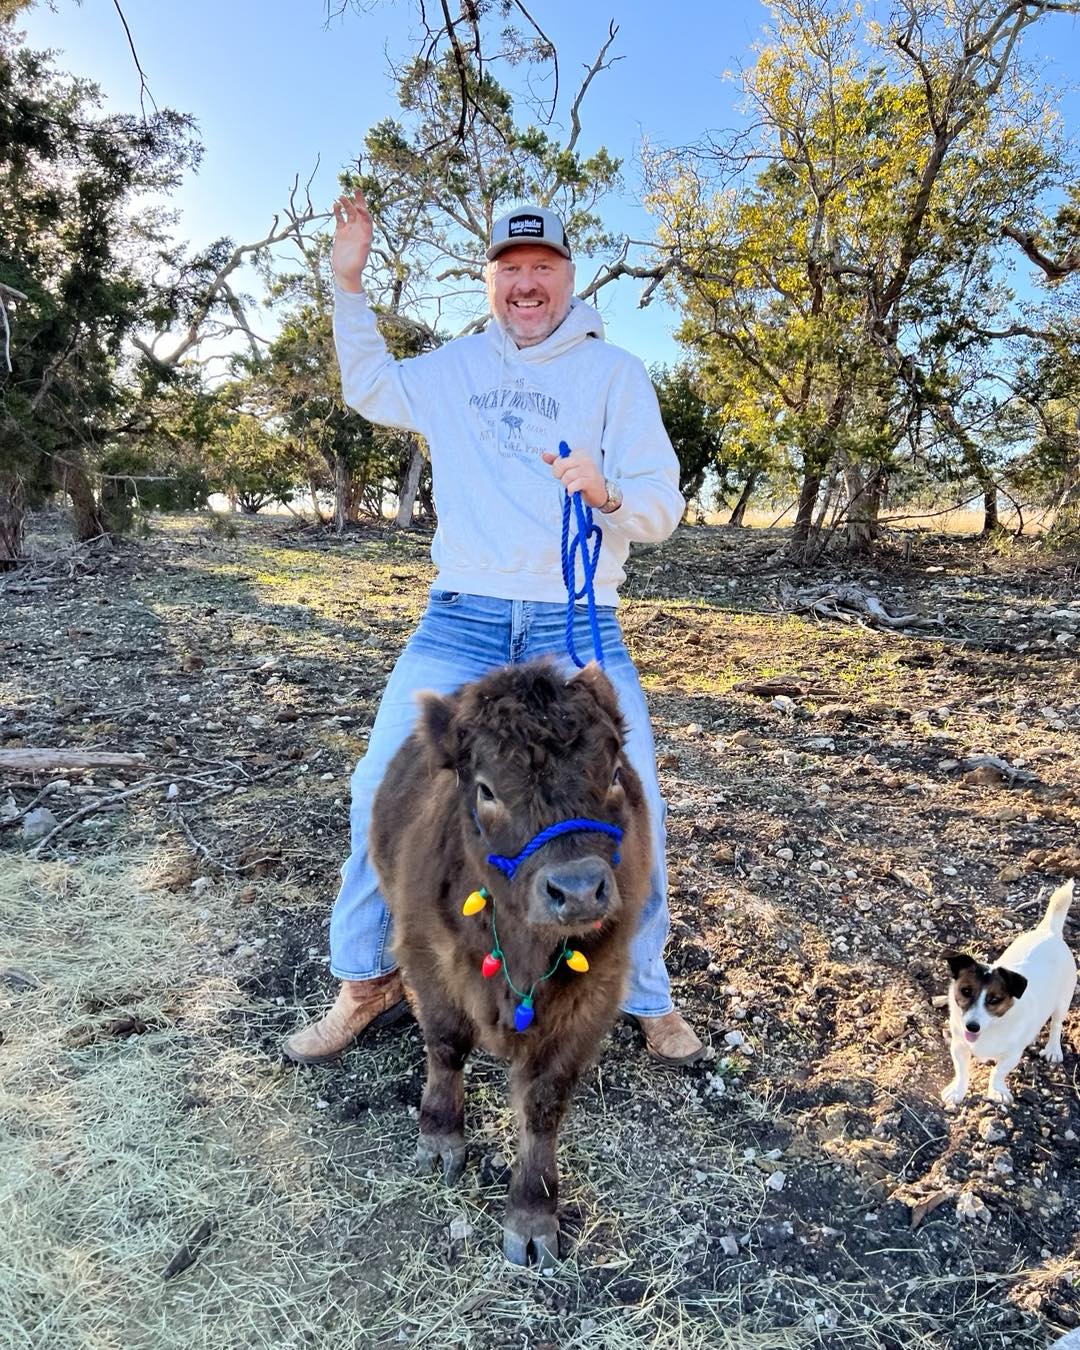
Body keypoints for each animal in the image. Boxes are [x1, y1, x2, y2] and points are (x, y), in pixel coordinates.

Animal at [369, 659, 651, 1267]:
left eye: (615, 772)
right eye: (486, 789)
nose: (577, 890)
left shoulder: (591, 998)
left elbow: (544, 1102)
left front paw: (532, 1216)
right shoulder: (428, 960)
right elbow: (447, 1045)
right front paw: (440, 1139)